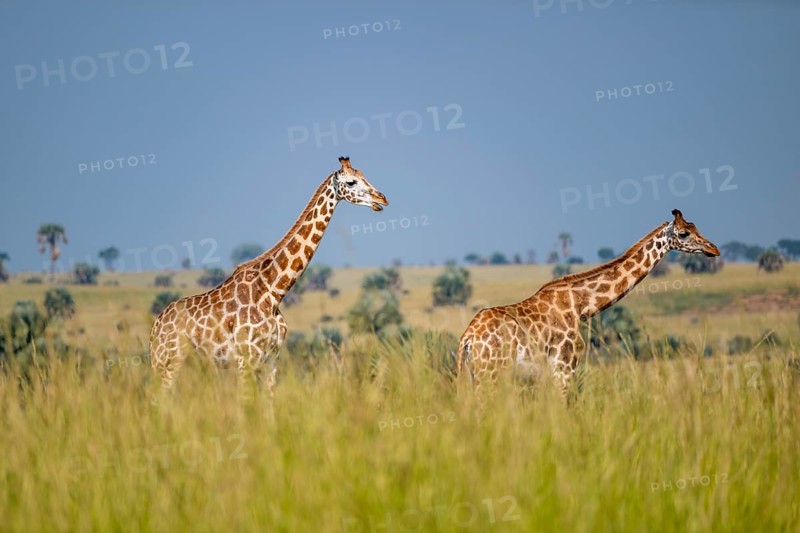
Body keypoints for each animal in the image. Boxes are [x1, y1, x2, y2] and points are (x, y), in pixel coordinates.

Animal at [149, 156, 387, 393]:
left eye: (364, 176)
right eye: (351, 182)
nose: (382, 199)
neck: (273, 292)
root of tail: (154, 328)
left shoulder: (272, 358)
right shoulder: (247, 357)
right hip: (167, 365)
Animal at [456, 209, 719, 396]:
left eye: (695, 227)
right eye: (683, 233)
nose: (714, 249)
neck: (581, 306)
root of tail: (468, 338)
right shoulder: (564, 365)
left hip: (473, 375)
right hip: (491, 373)